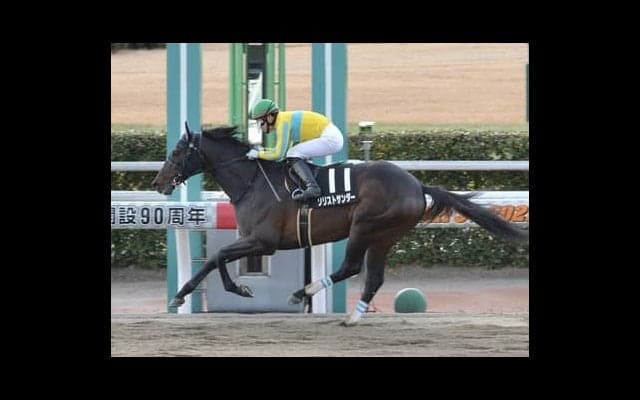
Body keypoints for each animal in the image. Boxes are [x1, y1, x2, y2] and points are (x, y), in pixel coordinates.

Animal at [151, 123, 528, 326]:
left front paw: (226, 291)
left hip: (365, 226)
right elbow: (216, 260)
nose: (158, 182)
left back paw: (304, 293)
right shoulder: (252, 239)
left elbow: (217, 258)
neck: (252, 181)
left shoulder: (264, 240)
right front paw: (189, 294)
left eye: (176, 153)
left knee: (351, 267)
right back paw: (352, 318)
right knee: (373, 278)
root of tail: (417, 185)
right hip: (385, 236)